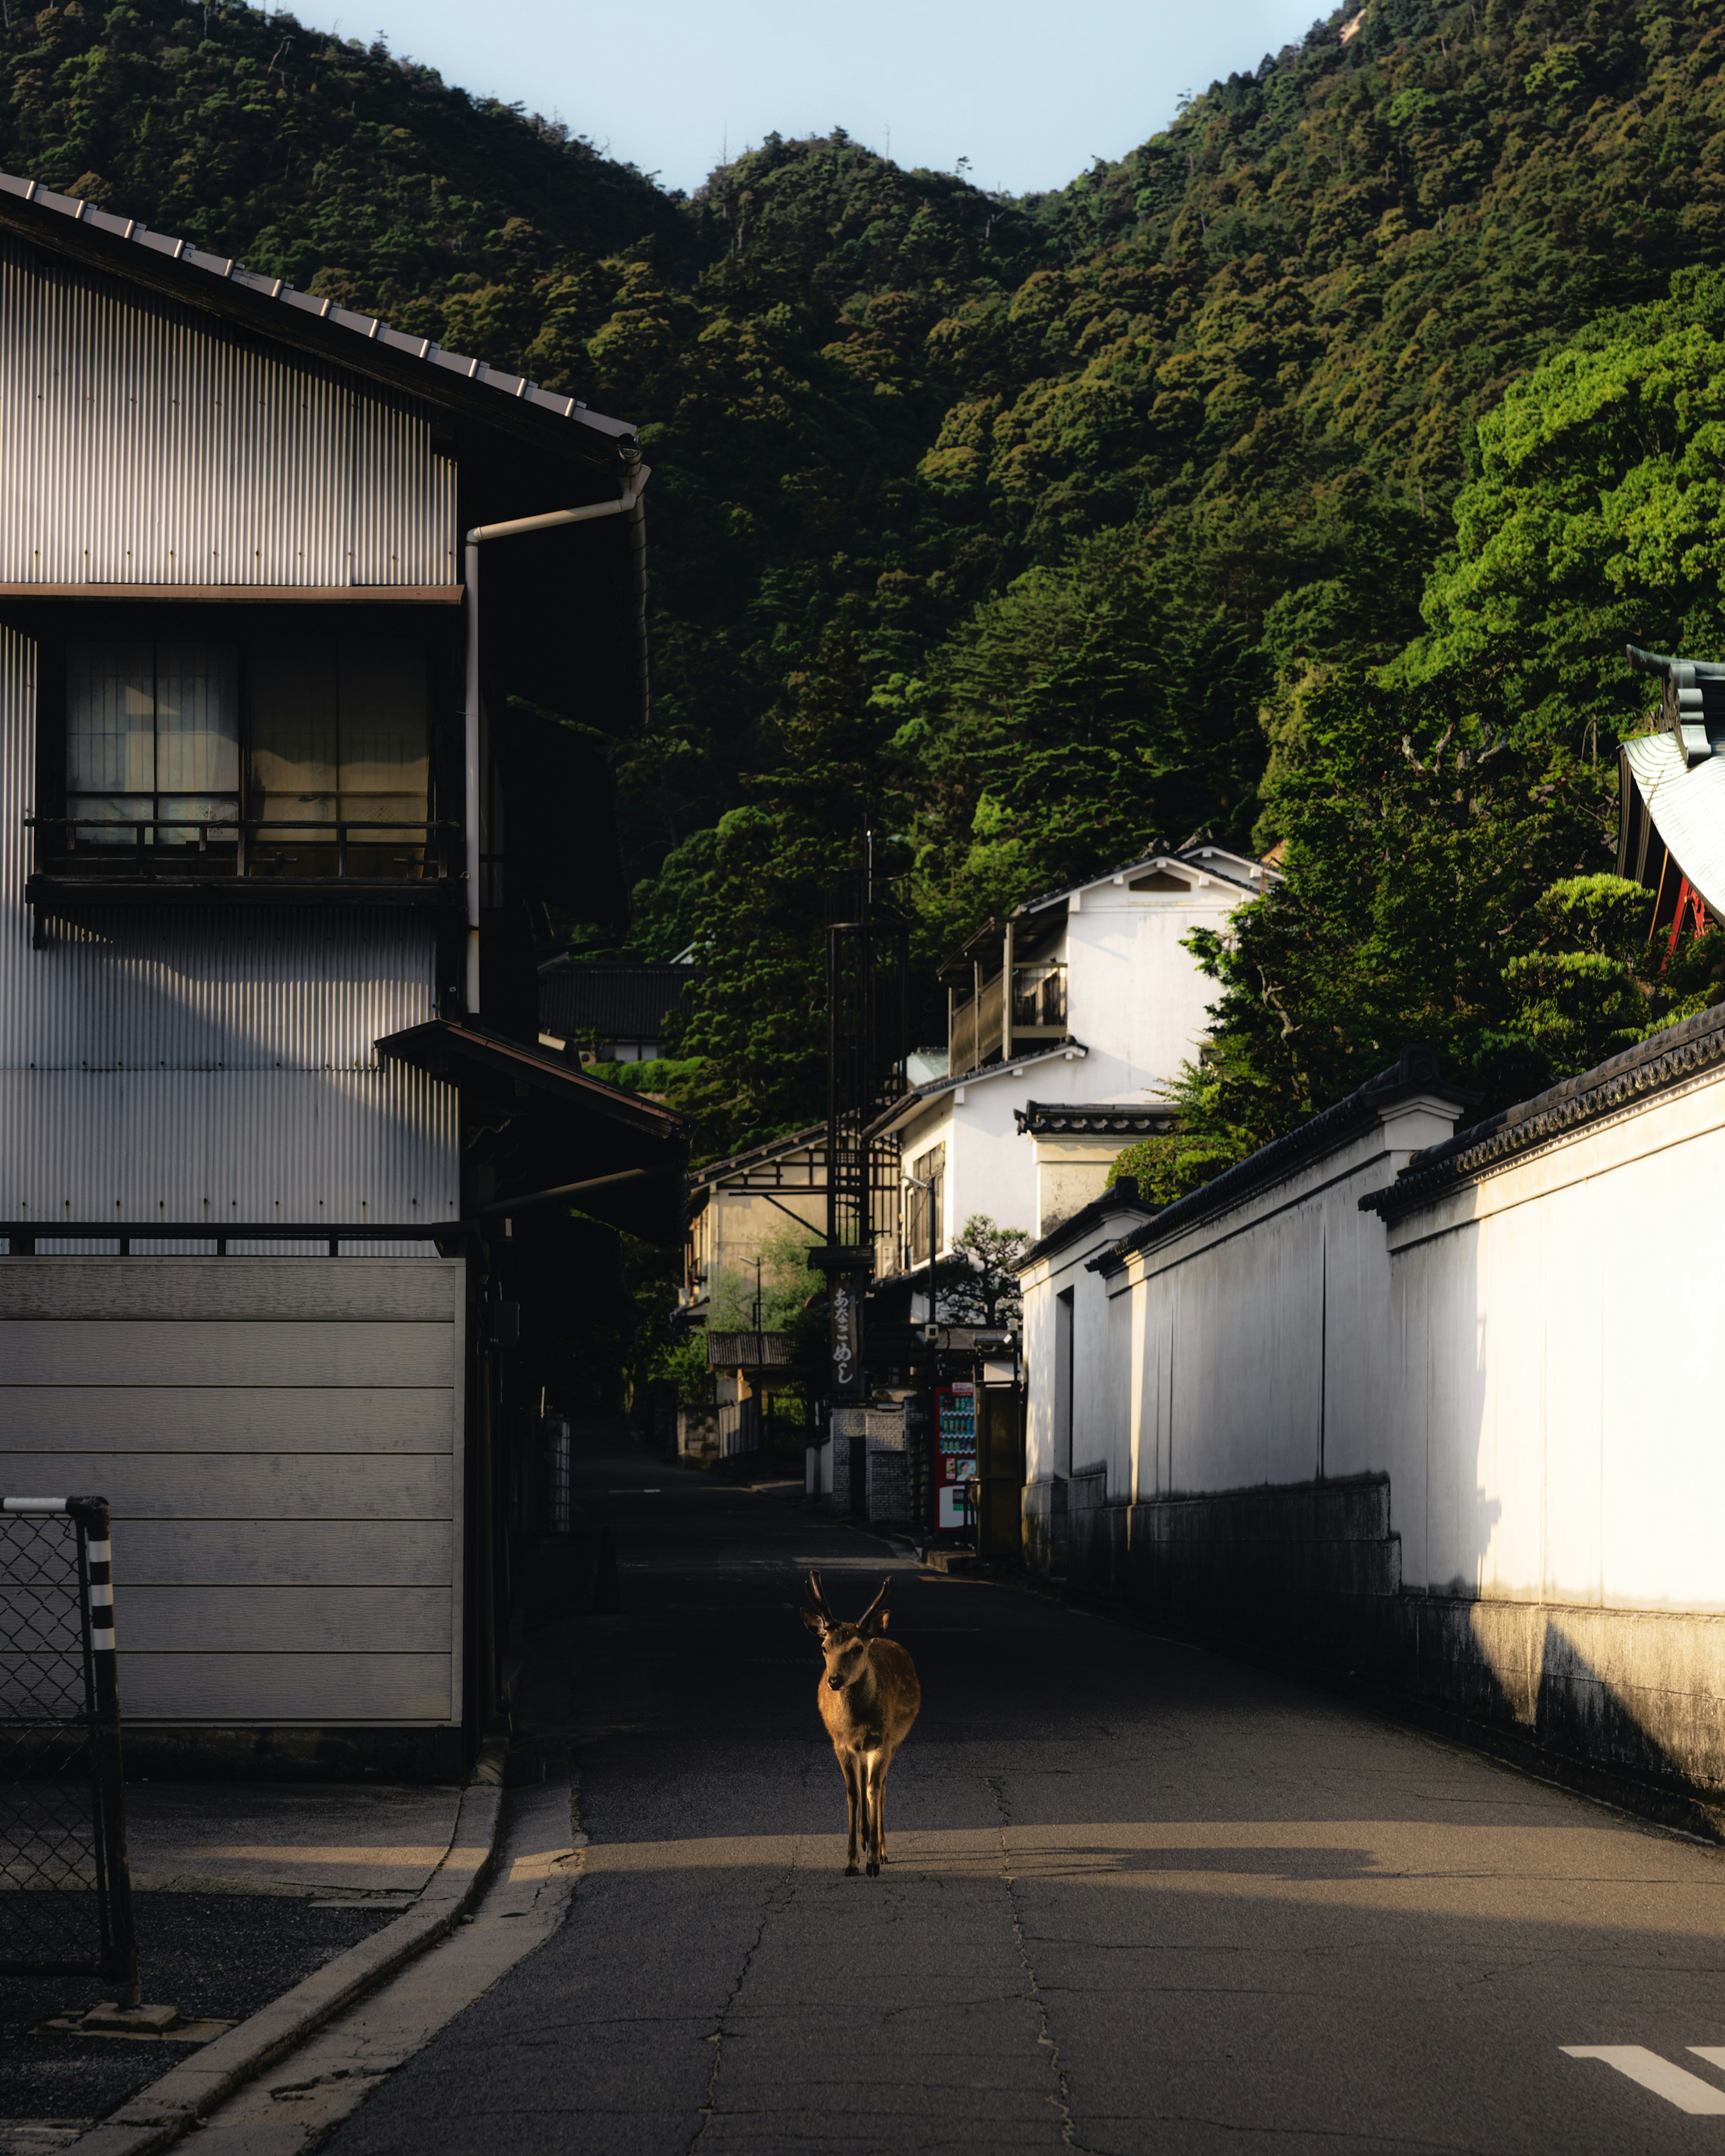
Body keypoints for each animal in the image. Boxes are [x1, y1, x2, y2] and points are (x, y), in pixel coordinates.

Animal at [802, 1578, 923, 1880]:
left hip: (894, 1740)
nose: (834, 1680)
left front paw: (873, 1862)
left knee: (881, 1787)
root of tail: (880, 1636)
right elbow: (853, 1794)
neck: (856, 1726)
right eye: (824, 1647)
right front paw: (851, 1861)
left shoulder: (883, 1741)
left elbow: (873, 1791)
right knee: (865, 1783)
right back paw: (866, 1837)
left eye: (858, 1648)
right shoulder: (840, 1743)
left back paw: (881, 1849)